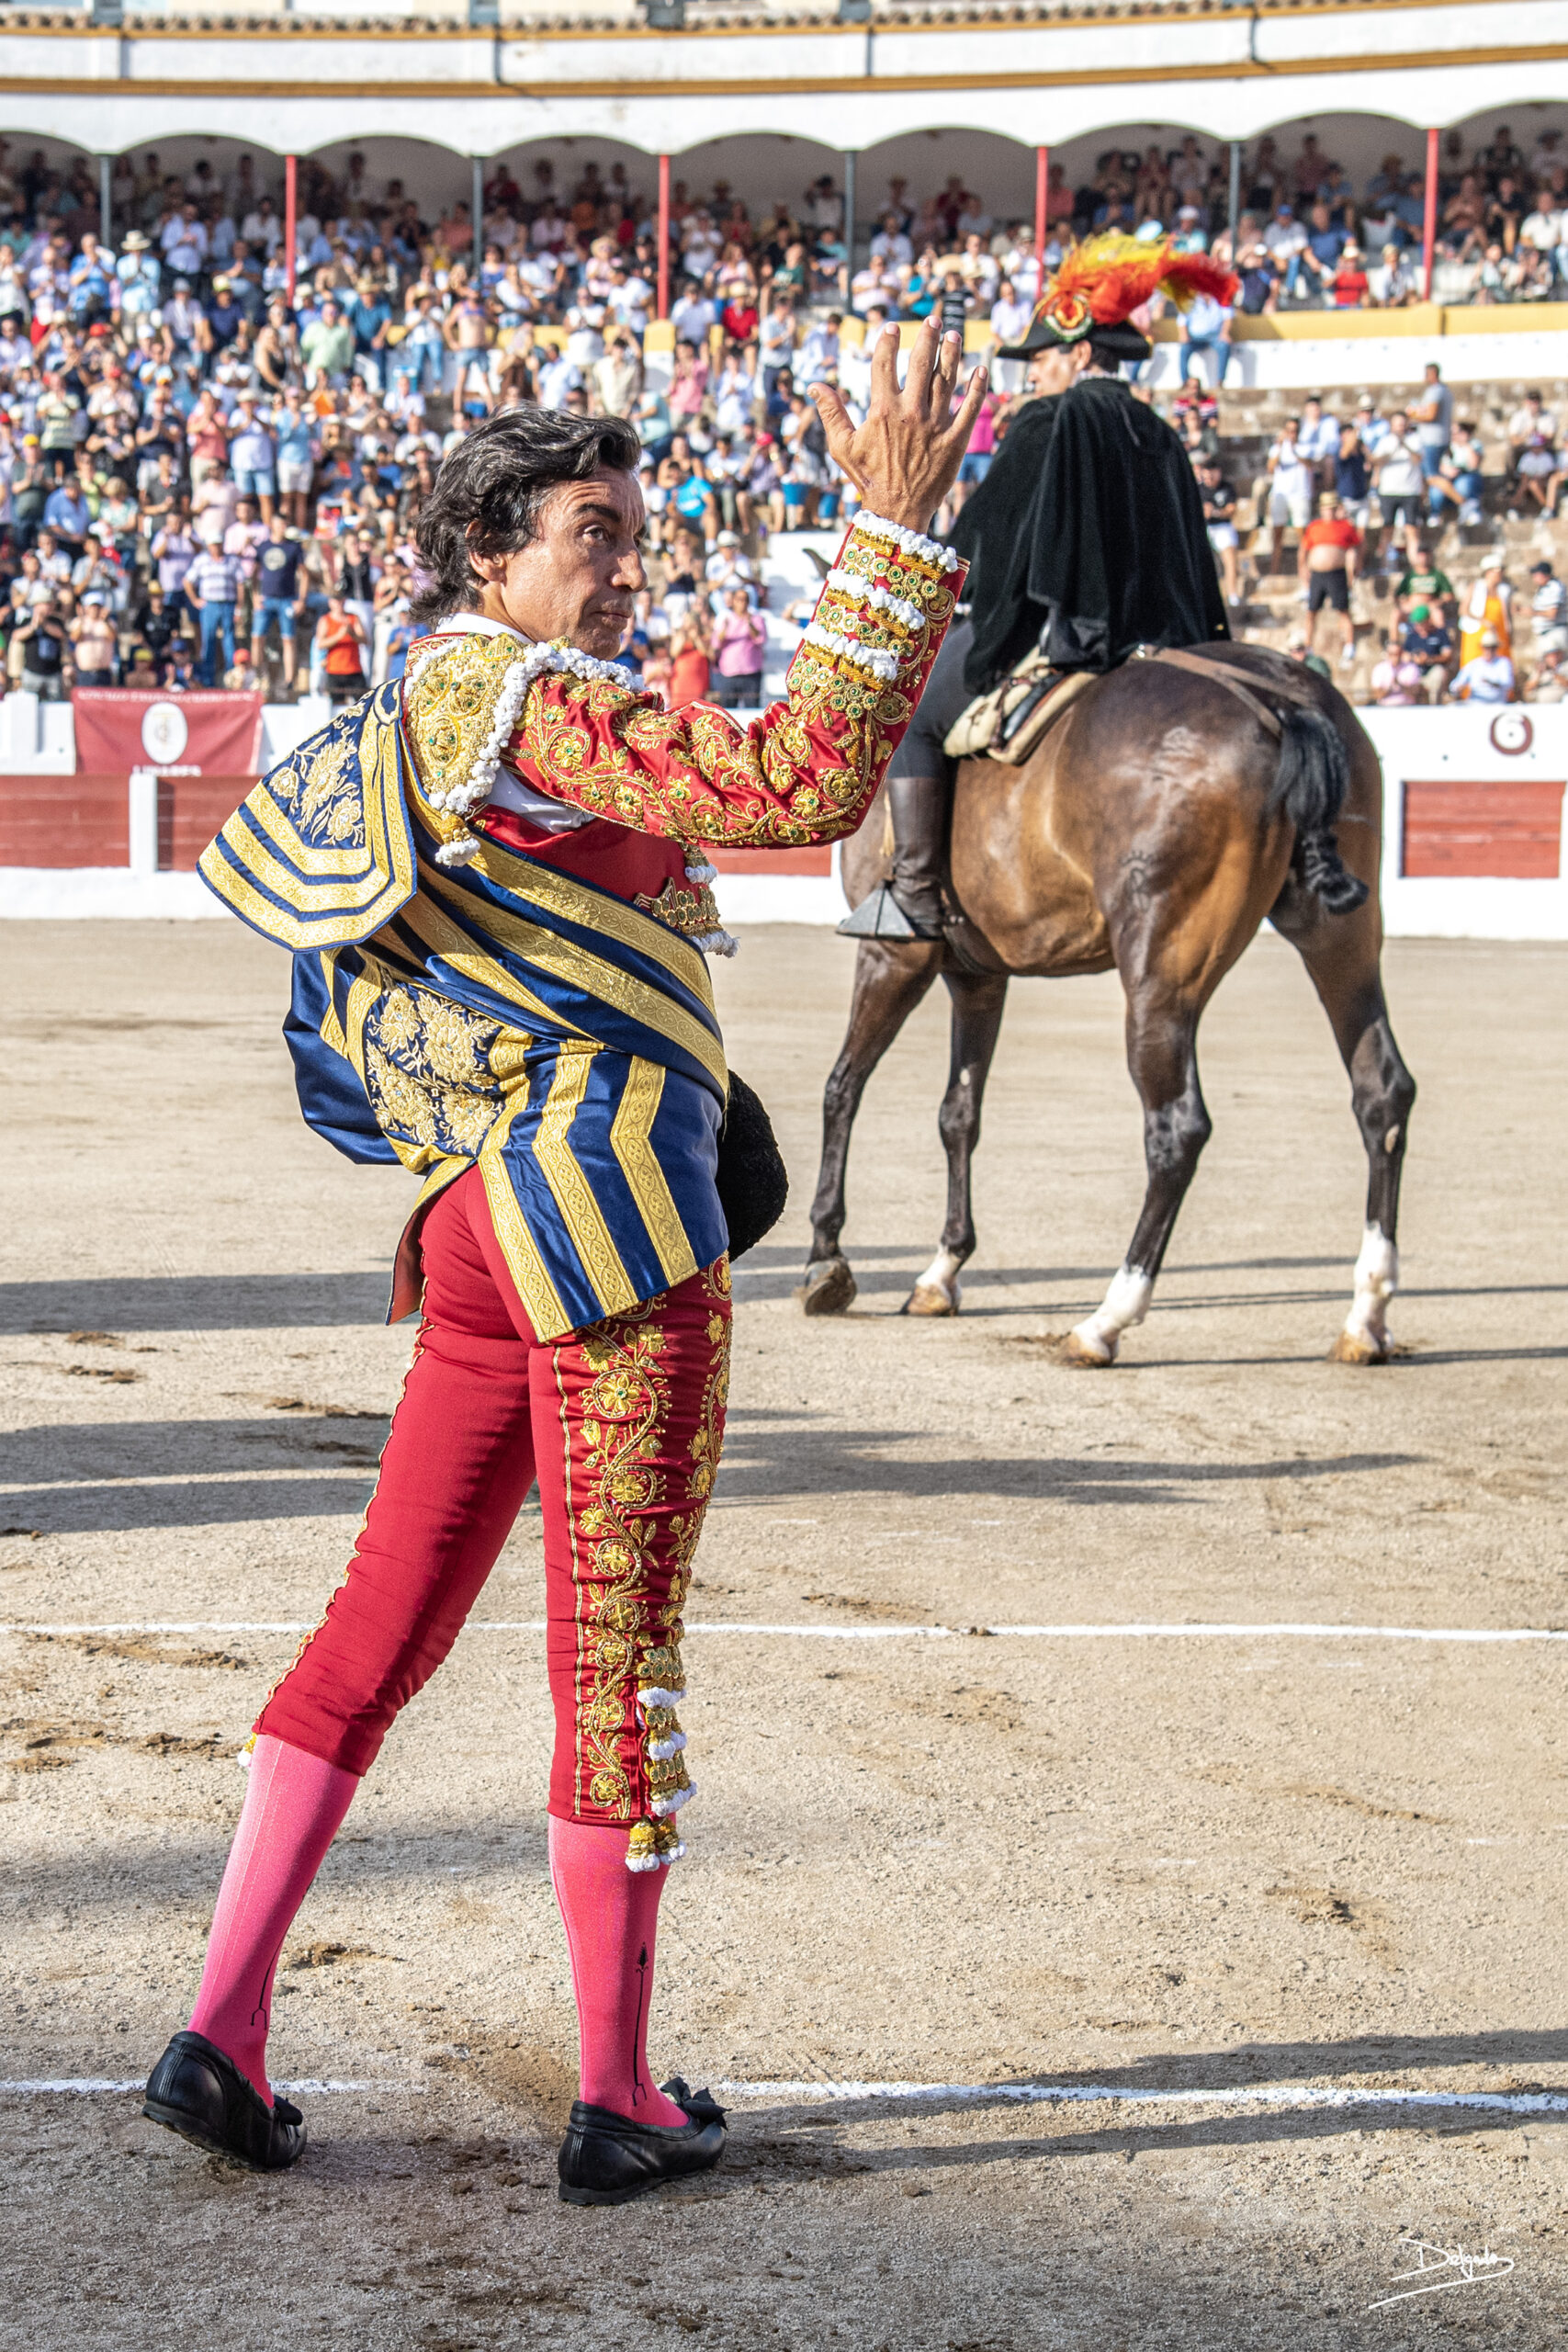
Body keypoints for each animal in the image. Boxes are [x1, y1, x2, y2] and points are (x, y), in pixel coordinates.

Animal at [804, 649, 1419, 1374]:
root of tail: (1280, 700)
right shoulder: (977, 977)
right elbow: (959, 1116)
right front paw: (941, 1271)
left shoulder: (893, 955)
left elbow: (842, 1089)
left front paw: (826, 1258)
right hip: (1340, 943)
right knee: (1380, 1093)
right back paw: (1366, 1316)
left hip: (1161, 976)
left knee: (1176, 1130)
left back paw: (1107, 1318)